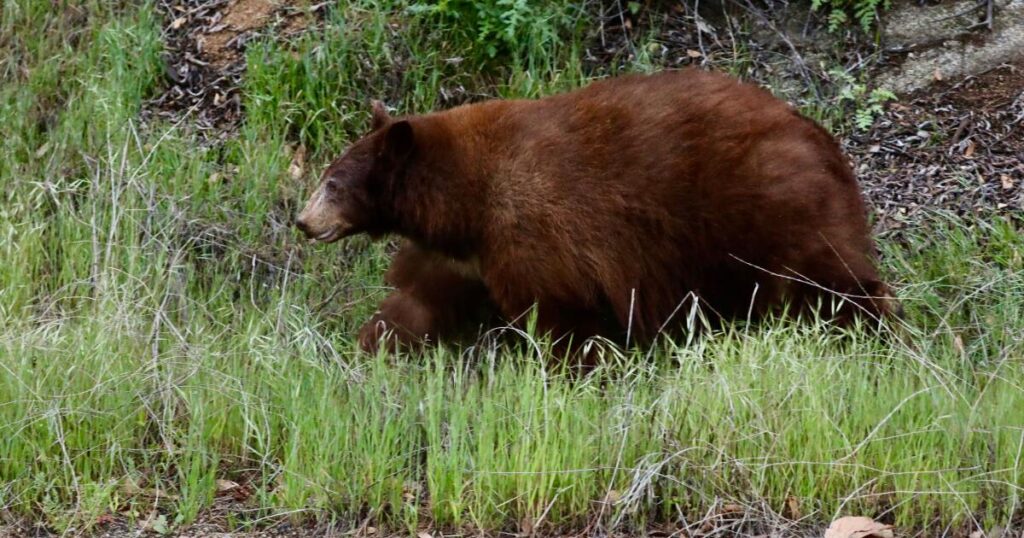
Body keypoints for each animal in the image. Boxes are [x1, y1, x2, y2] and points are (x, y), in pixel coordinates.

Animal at [296, 69, 896, 359]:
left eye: (332, 183)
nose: (303, 222)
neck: (462, 197)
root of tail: (819, 136)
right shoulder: (462, 254)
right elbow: (417, 300)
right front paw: (370, 345)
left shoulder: (531, 231)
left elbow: (559, 314)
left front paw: (582, 368)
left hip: (770, 202)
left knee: (827, 277)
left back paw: (872, 332)